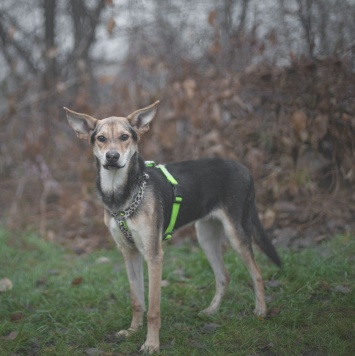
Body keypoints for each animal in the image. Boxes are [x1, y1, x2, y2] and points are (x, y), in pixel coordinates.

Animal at [63, 101, 280, 354]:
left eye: (125, 137)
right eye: (101, 138)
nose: (112, 157)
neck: (122, 193)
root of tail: (243, 168)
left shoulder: (154, 255)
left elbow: (153, 309)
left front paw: (151, 343)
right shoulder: (129, 253)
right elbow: (137, 299)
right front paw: (132, 331)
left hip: (236, 233)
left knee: (256, 273)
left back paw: (261, 312)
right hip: (205, 236)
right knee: (223, 276)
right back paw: (211, 311)